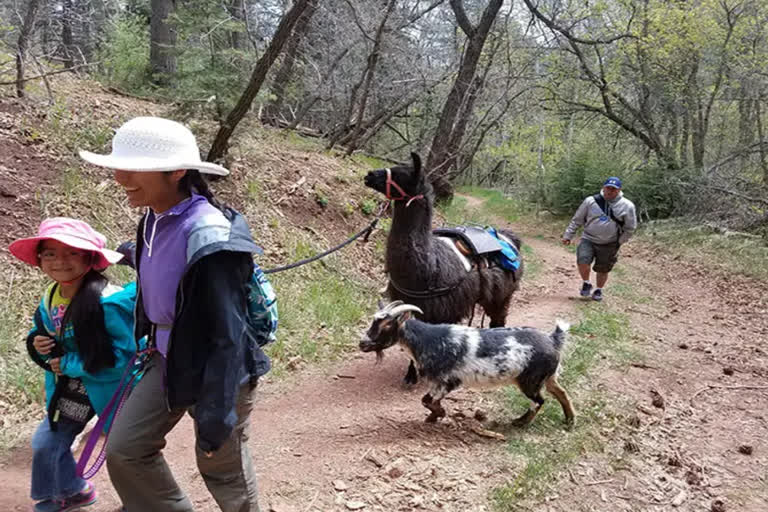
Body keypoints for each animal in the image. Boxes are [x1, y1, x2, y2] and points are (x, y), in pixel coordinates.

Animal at [362, 302, 576, 426]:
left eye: (387, 325)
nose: (362, 343)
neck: (427, 340)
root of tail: (553, 340)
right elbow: (428, 401)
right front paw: (434, 417)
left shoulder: (447, 381)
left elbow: (426, 400)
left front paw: (437, 415)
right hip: (547, 377)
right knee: (561, 393)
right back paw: (569, 420)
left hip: (530, 380)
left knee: (539, 401)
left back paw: (520, 423)